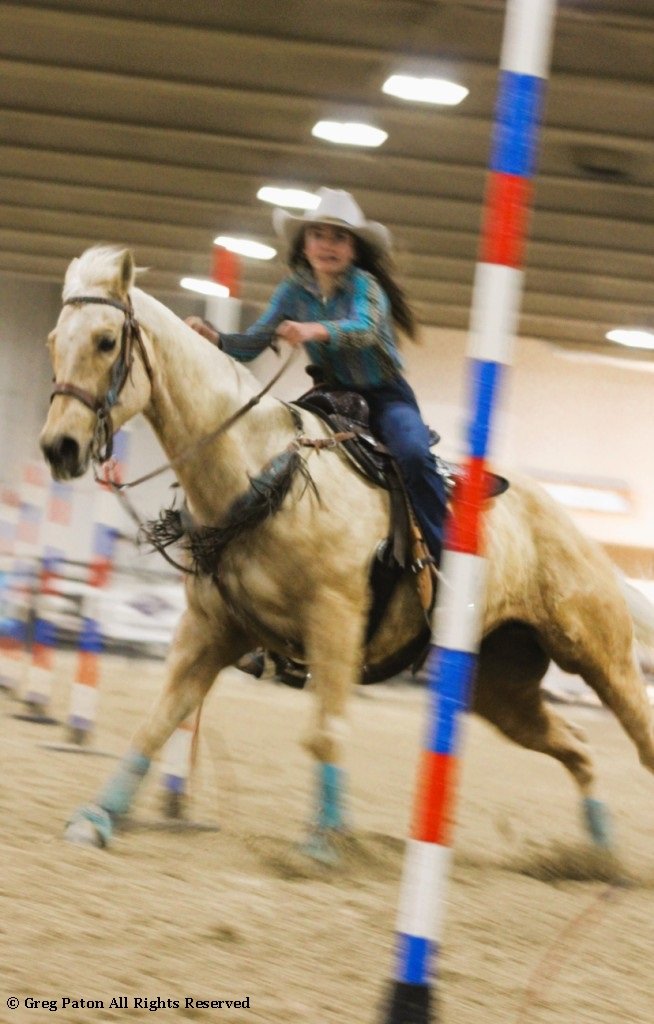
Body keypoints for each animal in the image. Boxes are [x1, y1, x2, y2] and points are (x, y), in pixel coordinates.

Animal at [39, 245, 654, 859]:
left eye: (106, 340)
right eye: (53, 340)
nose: (58, 447)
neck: (264, 473)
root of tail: (578, 534)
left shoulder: (335, 618)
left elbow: (324, 731)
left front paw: (323, 842)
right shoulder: (210, 629)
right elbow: (158, 720)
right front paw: (96, 817)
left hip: (601, 657)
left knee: (638, 733)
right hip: (501, 687)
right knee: (576, 743)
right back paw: (598, 854)